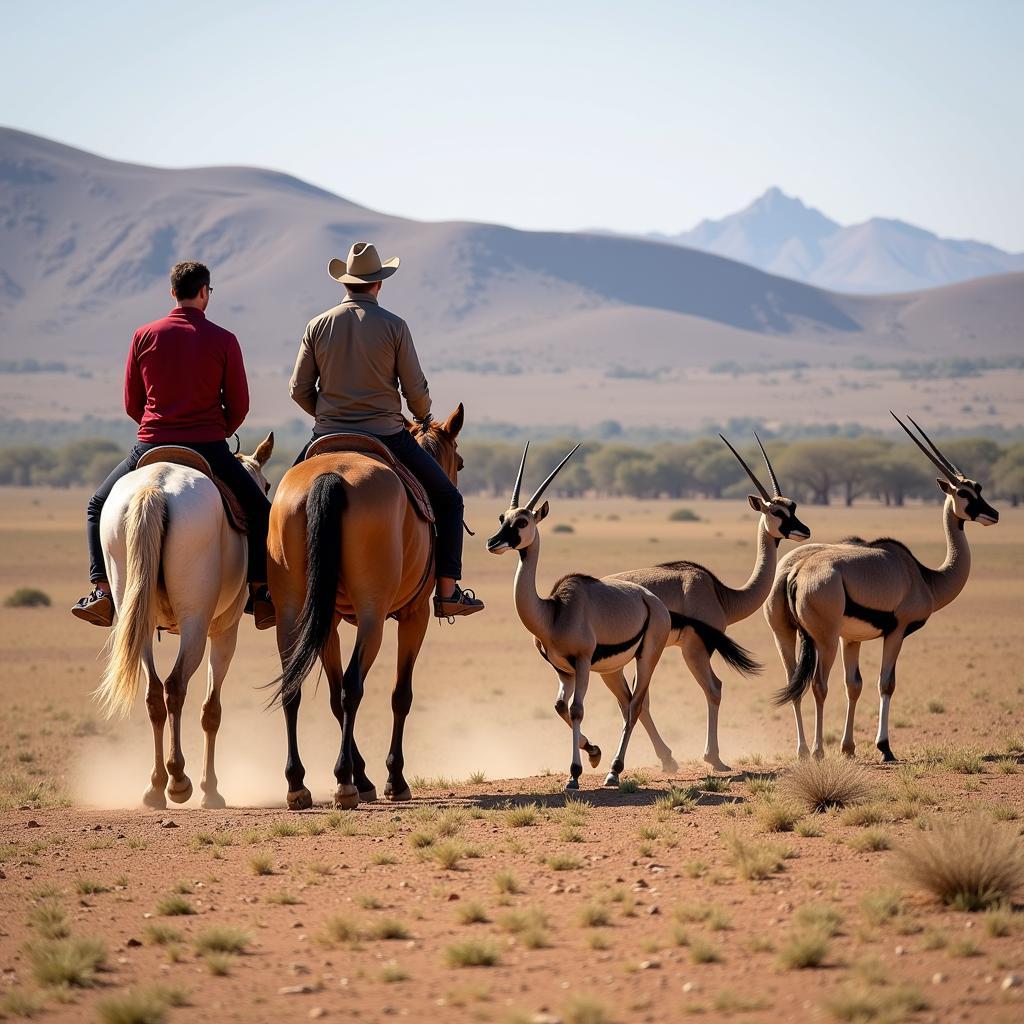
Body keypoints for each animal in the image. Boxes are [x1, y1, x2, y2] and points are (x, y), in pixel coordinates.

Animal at [93, 432, 272, 806]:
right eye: (265, 484)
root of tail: (155, 488)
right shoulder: (225, 631)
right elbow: (211, 711)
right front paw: (211, 789)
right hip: (196, 626)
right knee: (175, 686)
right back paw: (178, 780)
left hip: (139, 621)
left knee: (153, 693)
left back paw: (156, 786)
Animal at [270, 403, 466, 811]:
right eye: (459, 461)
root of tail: (329, 478)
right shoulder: (415, 616)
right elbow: (400, 695)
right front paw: (394, 778)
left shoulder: (326, 622)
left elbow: (331, 696)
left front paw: (364, 778)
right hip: (373, 618)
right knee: (352, 686)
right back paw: (344, 783)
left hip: (292, 611)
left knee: (295, 687)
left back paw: (299, 784)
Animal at [485, 444, 671, 786]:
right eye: (503, 517)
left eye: (523, 522)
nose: (493, 542)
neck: (552, 612)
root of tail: (653, 601)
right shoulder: (563, 670)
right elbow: (560, 707)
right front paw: (593, 752)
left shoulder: (582, 663)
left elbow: (576, 710)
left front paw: (574, 774)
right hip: (612, 670)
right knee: (626, 705)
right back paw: (611, 766)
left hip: (647, 658)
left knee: (635, 705)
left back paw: (614, 771)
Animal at [606, 432, 806, 770]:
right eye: (776, 512)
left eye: (792, 506)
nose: (804, 530)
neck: (722, 594)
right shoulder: (696, 648)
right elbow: (714, 690)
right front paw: (714, 758)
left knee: (633, 700)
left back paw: (666, 758)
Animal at [770, 413, 999, 761]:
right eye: (964, 494)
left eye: (978, 489)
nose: (993, 513)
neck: (923, 575)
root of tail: (795, 571)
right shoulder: (896, 631)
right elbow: (885, 683)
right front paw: (885, 747)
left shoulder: (851, 639)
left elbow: (854, 685)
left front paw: (849, 748)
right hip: (824, 639)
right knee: (818, 685)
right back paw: (818, 751)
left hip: (786, 635)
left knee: (794, 682)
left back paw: (803, 751)